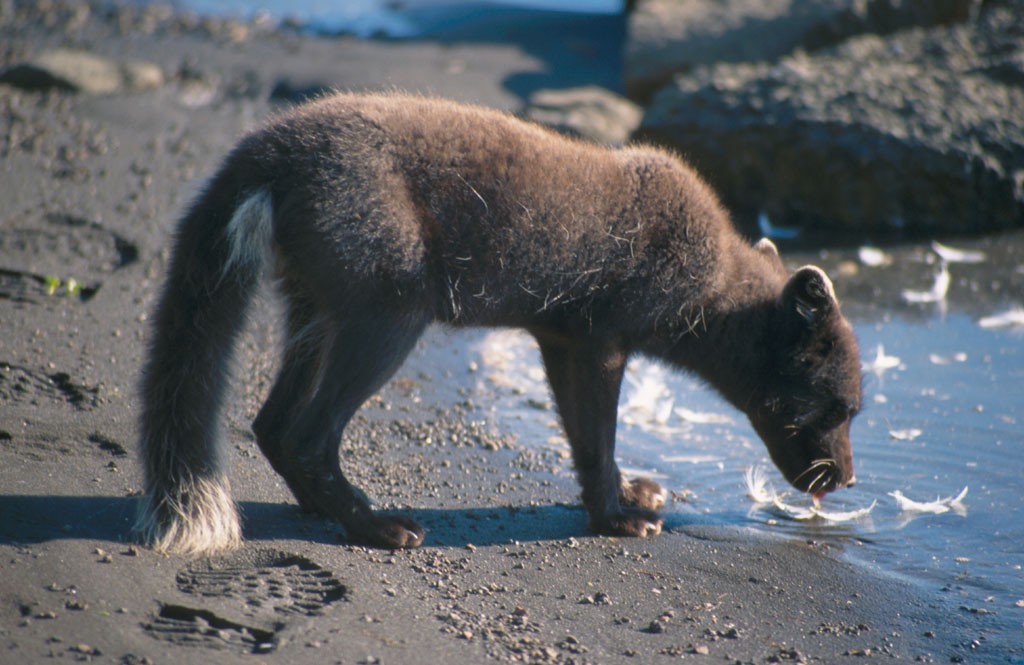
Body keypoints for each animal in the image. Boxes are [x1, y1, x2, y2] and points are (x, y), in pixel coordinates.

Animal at [132, 90, 860, 553]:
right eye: (840, 407)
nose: (848, 480)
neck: (709, 282)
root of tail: (268, 147)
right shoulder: (602, 342)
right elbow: (598, 440)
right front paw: (617, 518)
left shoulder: (562, 340)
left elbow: (588, 441)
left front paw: (630, 494)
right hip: (389, 314)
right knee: (307, 433)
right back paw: (378, 528)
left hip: (314, 313)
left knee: (272, 426)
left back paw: (323, 507)